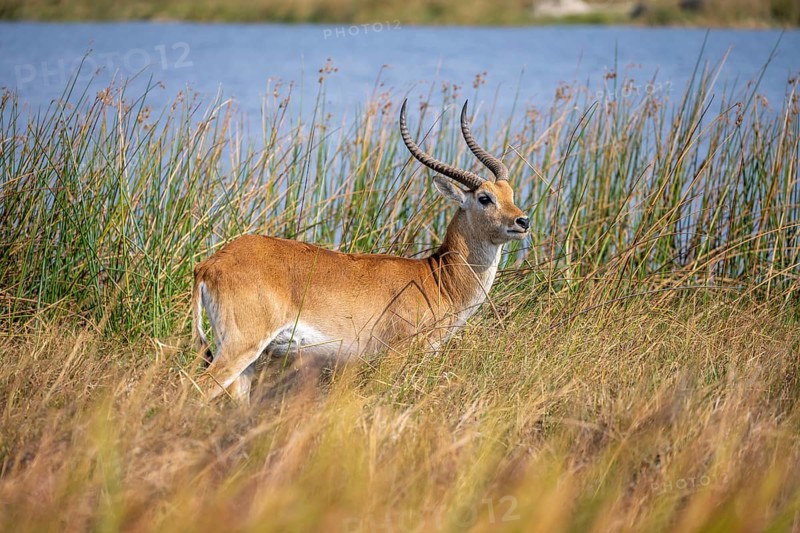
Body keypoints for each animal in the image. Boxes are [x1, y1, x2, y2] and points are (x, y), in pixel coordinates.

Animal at [192, 99, 529, 403]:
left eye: (510, 193)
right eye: (485, 198)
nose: (522, 221)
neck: (437, 279)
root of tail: (209, 265)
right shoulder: (395, 356)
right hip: (240, 346)